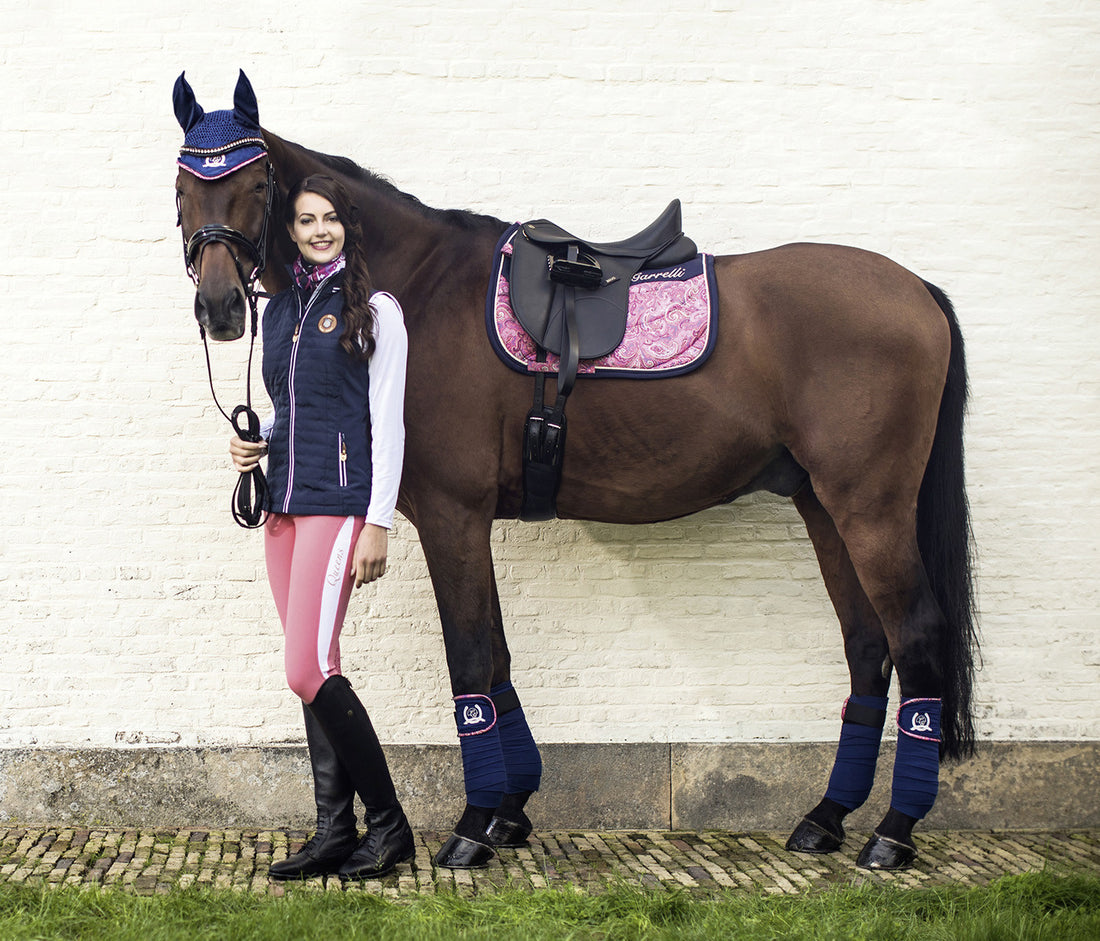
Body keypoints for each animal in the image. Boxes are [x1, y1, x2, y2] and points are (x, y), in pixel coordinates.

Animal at [172, 71, 977, 871]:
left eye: (255, 183)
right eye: (183, 185)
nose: (218, 307)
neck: (421, 289)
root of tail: (916, 289)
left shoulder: (452, 515)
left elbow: (471, 658)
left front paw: (473, 825)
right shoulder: (464, 523)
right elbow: (497, 656)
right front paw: (508, 812)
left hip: (870, 508)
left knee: (915, 637)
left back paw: (892, 832)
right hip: (824, 505)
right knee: (867, 647)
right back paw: (826, 816)